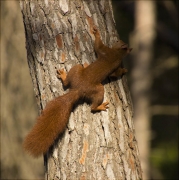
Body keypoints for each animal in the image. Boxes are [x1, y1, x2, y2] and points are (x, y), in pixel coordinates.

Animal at [23, 27, 132, 158]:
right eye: (121, 42)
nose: (130, 48)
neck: (116, 53)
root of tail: (77, 89)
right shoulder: (107, 52)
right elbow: (98, 46)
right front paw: (96, 32)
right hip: (85, 76)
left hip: (82, 75)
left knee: (74, 91)